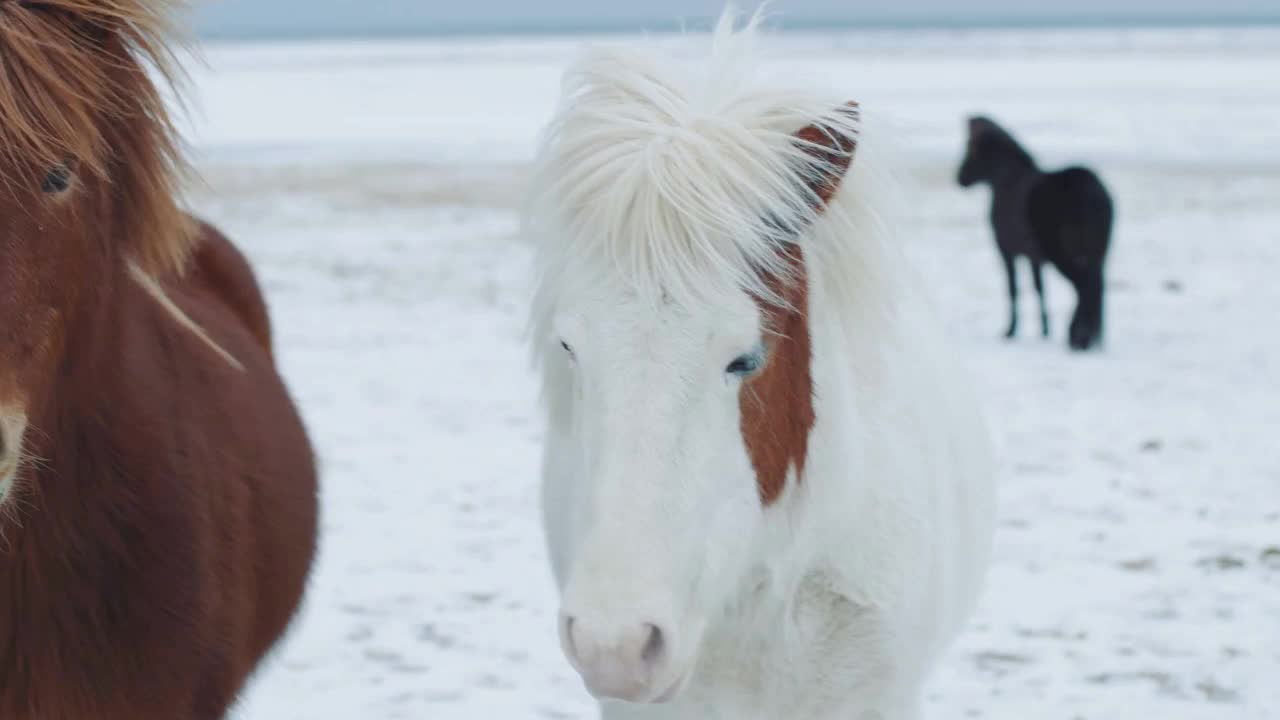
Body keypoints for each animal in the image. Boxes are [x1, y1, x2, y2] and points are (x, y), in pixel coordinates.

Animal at [962, 115, 1111, 351]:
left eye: (970, 151)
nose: (959, 178)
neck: (1006, 180)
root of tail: (1091, 190)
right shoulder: (1034, 257)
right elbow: (1039, 288)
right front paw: (1044, 330)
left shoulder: (1007, 250)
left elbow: (1015, 288)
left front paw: (1011, 330)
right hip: (1098, 252)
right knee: (1096, 286)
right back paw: (1089, 339)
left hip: (1063, 253)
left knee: (1085, 286)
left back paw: (1077, 337)